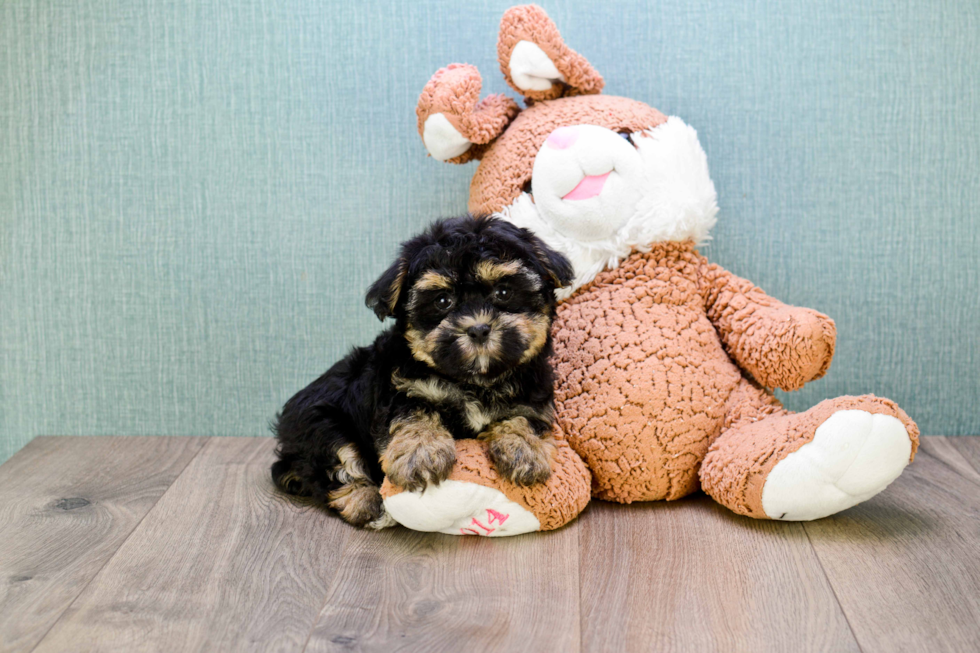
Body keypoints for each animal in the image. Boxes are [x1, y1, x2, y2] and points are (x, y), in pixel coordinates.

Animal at [270, 216, 576, 528]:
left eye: (504, 292)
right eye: (442, 301)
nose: (478, 329)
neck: (474, 380)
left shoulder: (532, 395)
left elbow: (524, 418)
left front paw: (523, 450)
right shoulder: (403, 388)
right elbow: (414, 415)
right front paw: (421, 454)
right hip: (319, 424)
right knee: (339, 461)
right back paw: (367, 503)